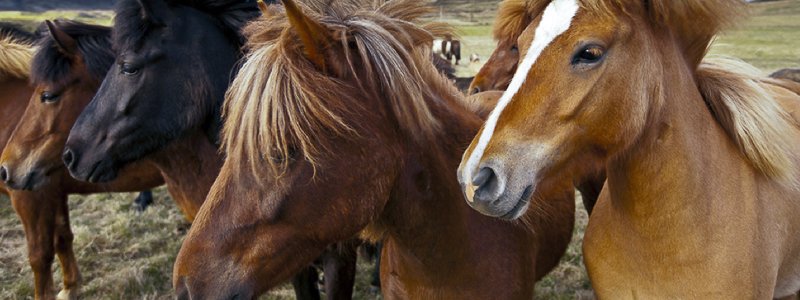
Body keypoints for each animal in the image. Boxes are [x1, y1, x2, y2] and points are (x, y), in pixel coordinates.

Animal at [0, 21, 165, 300]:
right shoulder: (53, 192)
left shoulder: (30, 198)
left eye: (48, 95)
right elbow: (63, 238)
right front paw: (70, 288)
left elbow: (39, 256)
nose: (5, 169)